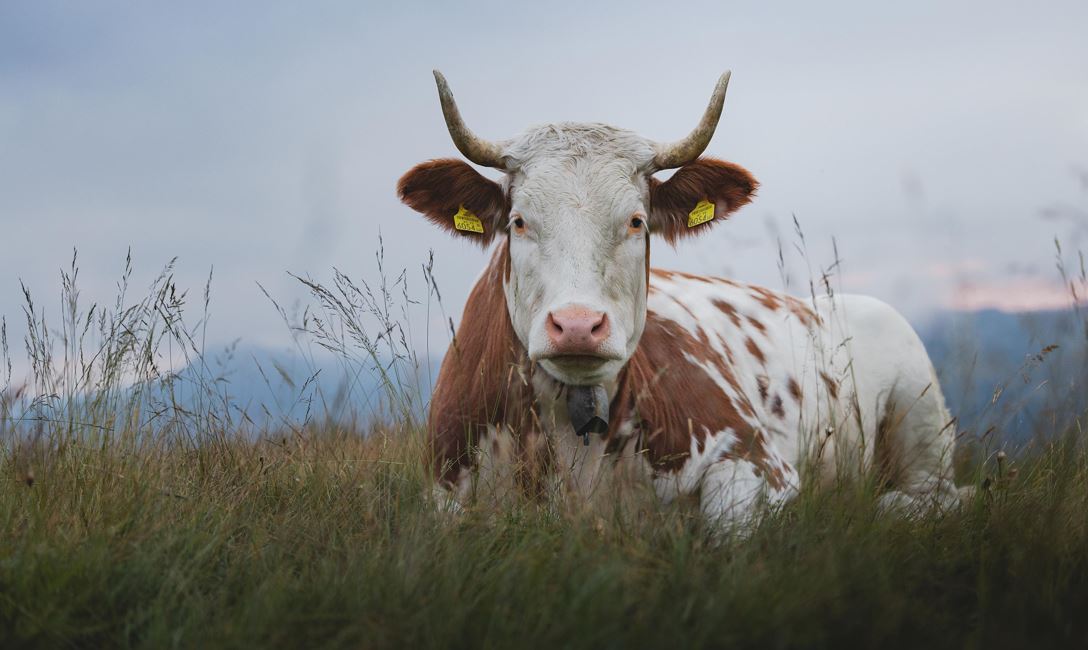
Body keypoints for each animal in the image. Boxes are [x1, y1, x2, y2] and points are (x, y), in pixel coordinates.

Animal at [398, 70, 961, 526]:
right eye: (518, 221)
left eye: (636, 220)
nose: (578, 325)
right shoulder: (443, 489)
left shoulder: (761, 462)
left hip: (923, 421)